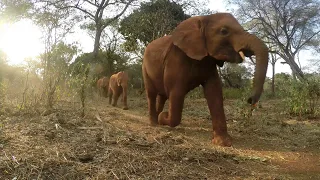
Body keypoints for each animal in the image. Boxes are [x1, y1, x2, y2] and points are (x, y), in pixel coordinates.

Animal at [141, 13, 268, 148]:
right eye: (224, 31)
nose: (250, 101)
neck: (203, 18)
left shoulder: (209, 63)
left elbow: (214, 92)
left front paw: (223, 143)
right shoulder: (176, 59)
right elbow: (176, 92)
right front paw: (164, 117)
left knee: (162, 96)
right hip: (144, 67)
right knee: (151, 94)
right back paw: (154, 123)